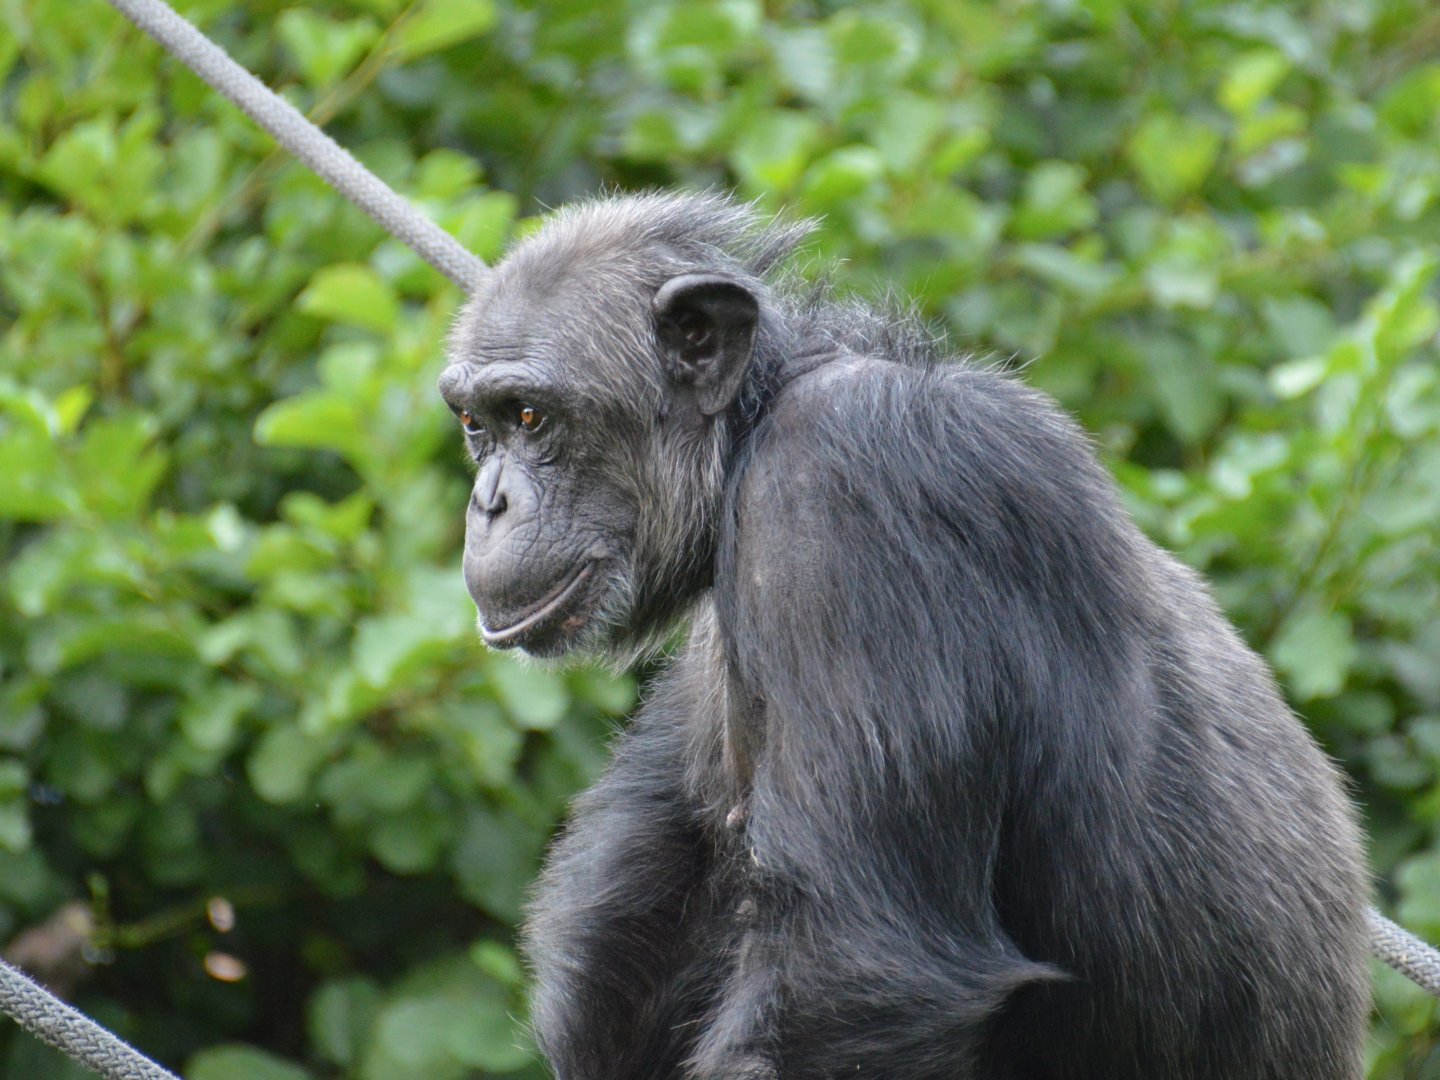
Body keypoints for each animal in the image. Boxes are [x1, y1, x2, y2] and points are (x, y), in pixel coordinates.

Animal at [437, 190, 1370, 1079]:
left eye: (531, 416)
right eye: (477, 424)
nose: (488, 501)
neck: (757, 422)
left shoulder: (848, 492)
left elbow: (853, 965)